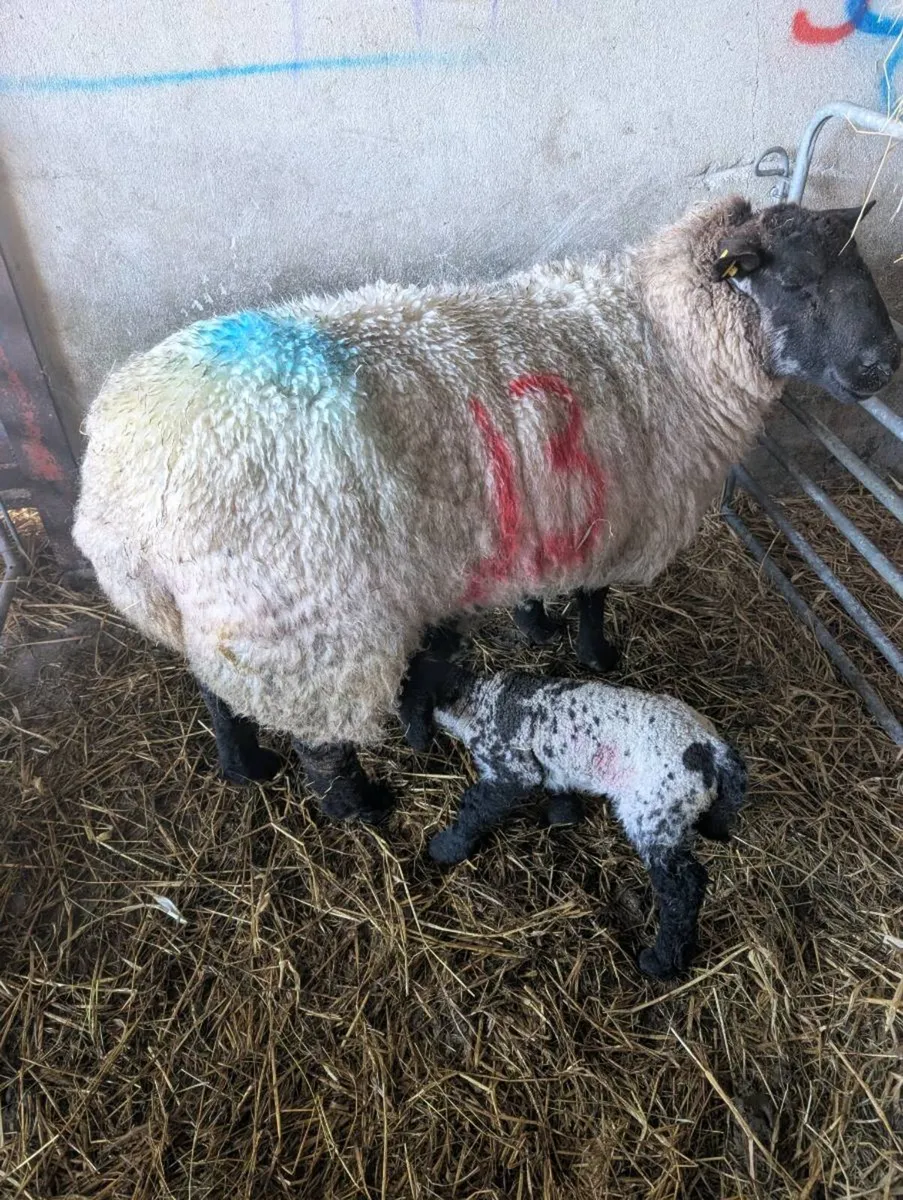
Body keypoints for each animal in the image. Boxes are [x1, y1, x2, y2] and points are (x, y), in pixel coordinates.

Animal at [72, 196, 899, 819]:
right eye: (799, 286)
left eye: (860, 270)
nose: (881, 366)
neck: (662, 340)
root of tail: (117, 473)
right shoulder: (613, 511)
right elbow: (593, 598)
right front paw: (598, 655)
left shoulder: (545, 513)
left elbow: (540, 589)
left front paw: (534, 626)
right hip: (304, 627)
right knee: (321, 744)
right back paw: (362, 807)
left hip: (219, 618)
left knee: (217, 695)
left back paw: (244, 767)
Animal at [399, 634, 748, 979]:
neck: (477, 701)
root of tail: (712, 749)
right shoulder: (553, 764)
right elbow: (558, 787)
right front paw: (562, 814)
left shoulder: (511, 766)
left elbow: (477, 806)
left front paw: (447, 846)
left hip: (655, 810)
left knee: (683, 887)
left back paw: (662, 961)